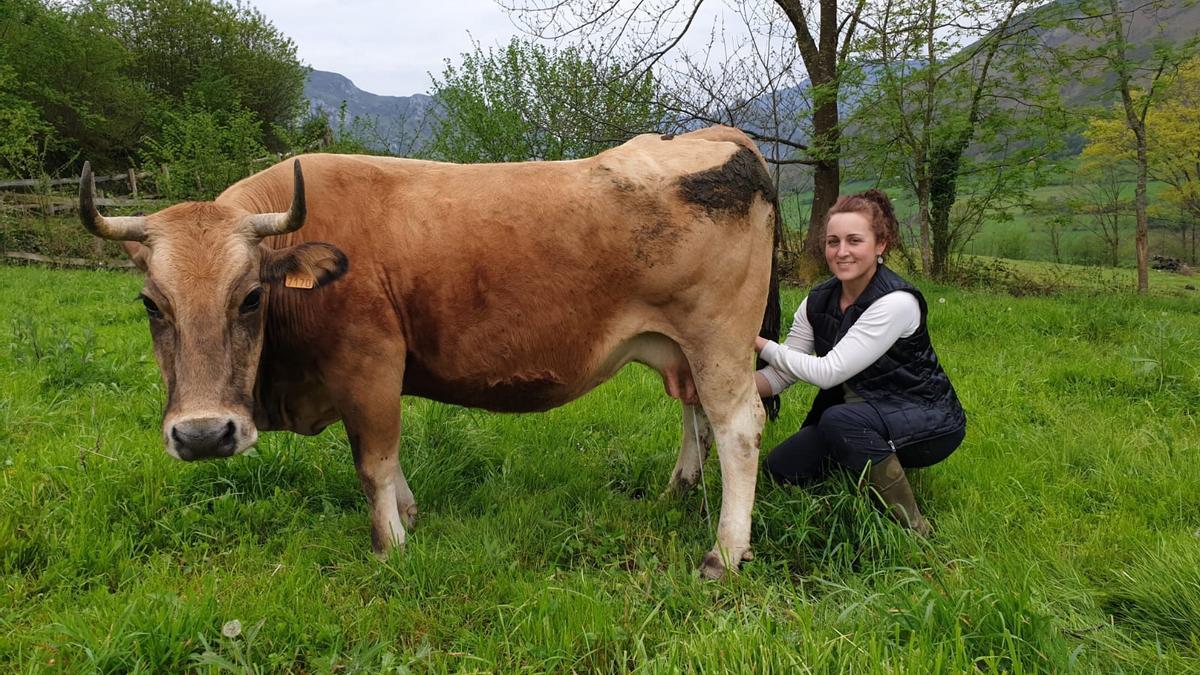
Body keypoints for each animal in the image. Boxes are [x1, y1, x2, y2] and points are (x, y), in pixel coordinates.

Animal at [79, 126, 782, 578]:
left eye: (251, 297)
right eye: (151, 304)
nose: (202, 435)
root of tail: (714, 137)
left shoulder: (368, 365)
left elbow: (372, 461)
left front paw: (390, 547)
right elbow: (387, 463)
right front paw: (410, 517)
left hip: (718, 340)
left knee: (738, 428)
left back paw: (725, 552)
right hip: (681, 348)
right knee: (696, 416)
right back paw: (679, 491)